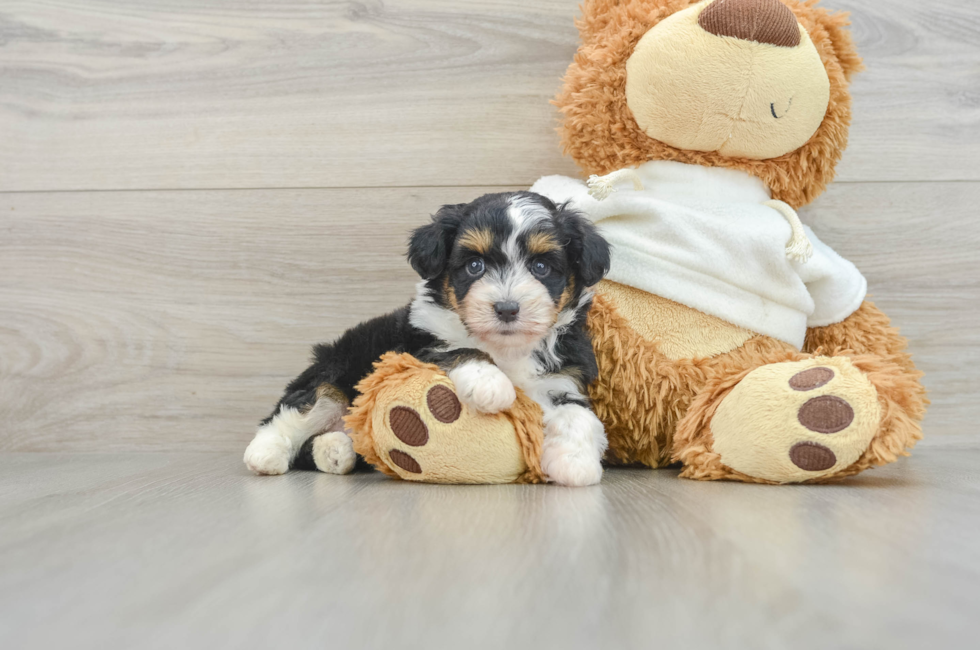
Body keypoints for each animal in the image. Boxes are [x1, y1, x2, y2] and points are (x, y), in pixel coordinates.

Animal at [243, 190, 612, 484]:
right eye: (475, 266)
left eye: (541, 268)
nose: (507, 308)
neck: (505, 346)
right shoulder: (414, 348)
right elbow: (460, 350)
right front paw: (490, 384)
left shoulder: (562, 378)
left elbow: (578, 415)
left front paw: (575, 466)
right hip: (335, 369)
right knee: (301, 410)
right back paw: (265, 454)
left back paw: (336, 450)